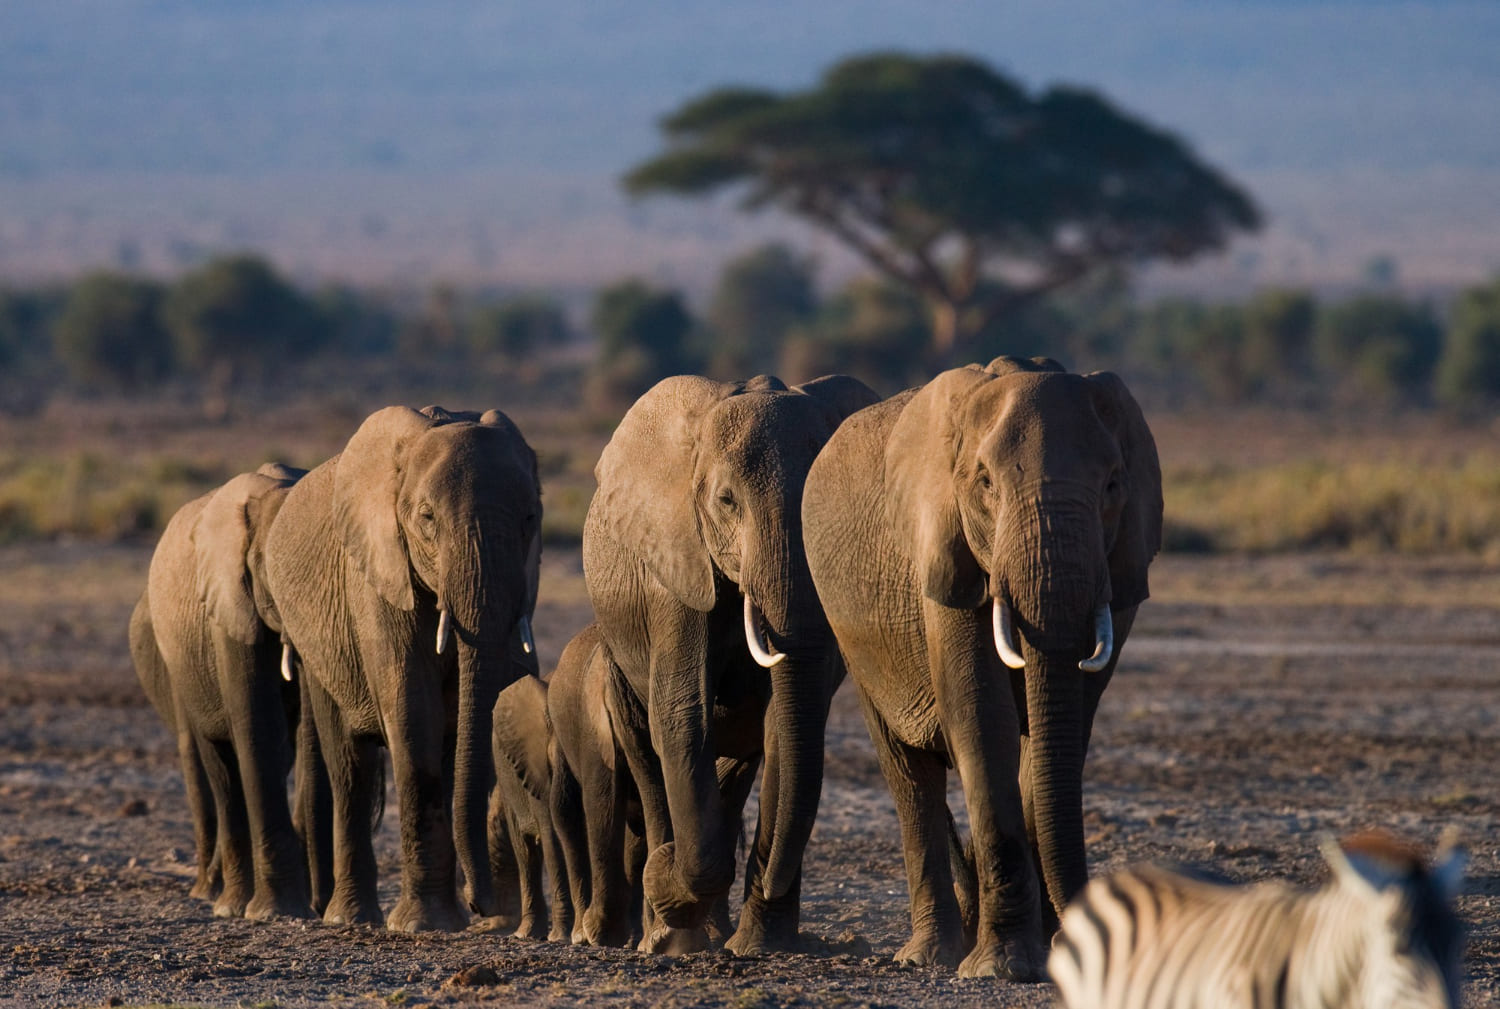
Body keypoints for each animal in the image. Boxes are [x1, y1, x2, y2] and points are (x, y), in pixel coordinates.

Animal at [139, 462, 311, 920]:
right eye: (272, 569)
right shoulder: (229, 602)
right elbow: (258, 726)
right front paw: (275, 912)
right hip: (184, 665)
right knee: (220, 762)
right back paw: (228, 903)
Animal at [263, 405, 541, 933]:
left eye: (531, 520)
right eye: (426, 519)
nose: (481, 905)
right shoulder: (378, 575)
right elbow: (414, 712)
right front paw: (422, 925)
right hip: (319, 645)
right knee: (349, 766)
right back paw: (350, 917)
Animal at [582, 373, 881, 954]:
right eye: (726, 501)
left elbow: (784, 730)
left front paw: (762, 947)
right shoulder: (675, 568)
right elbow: (682, 716)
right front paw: (668, 887)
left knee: (736, 772)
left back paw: (710, 929)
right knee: (649, 758)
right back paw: (665, 933)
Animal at [801, 357, 1162, 979]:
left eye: (1114, 484)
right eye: (987, 484)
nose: (1082, 932)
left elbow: (1059, 730)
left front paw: (1050, 955)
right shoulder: (945, 551)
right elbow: (980, 714)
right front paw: (1002, 967)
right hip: (851, 635)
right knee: (908, 772)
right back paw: (930, 954)